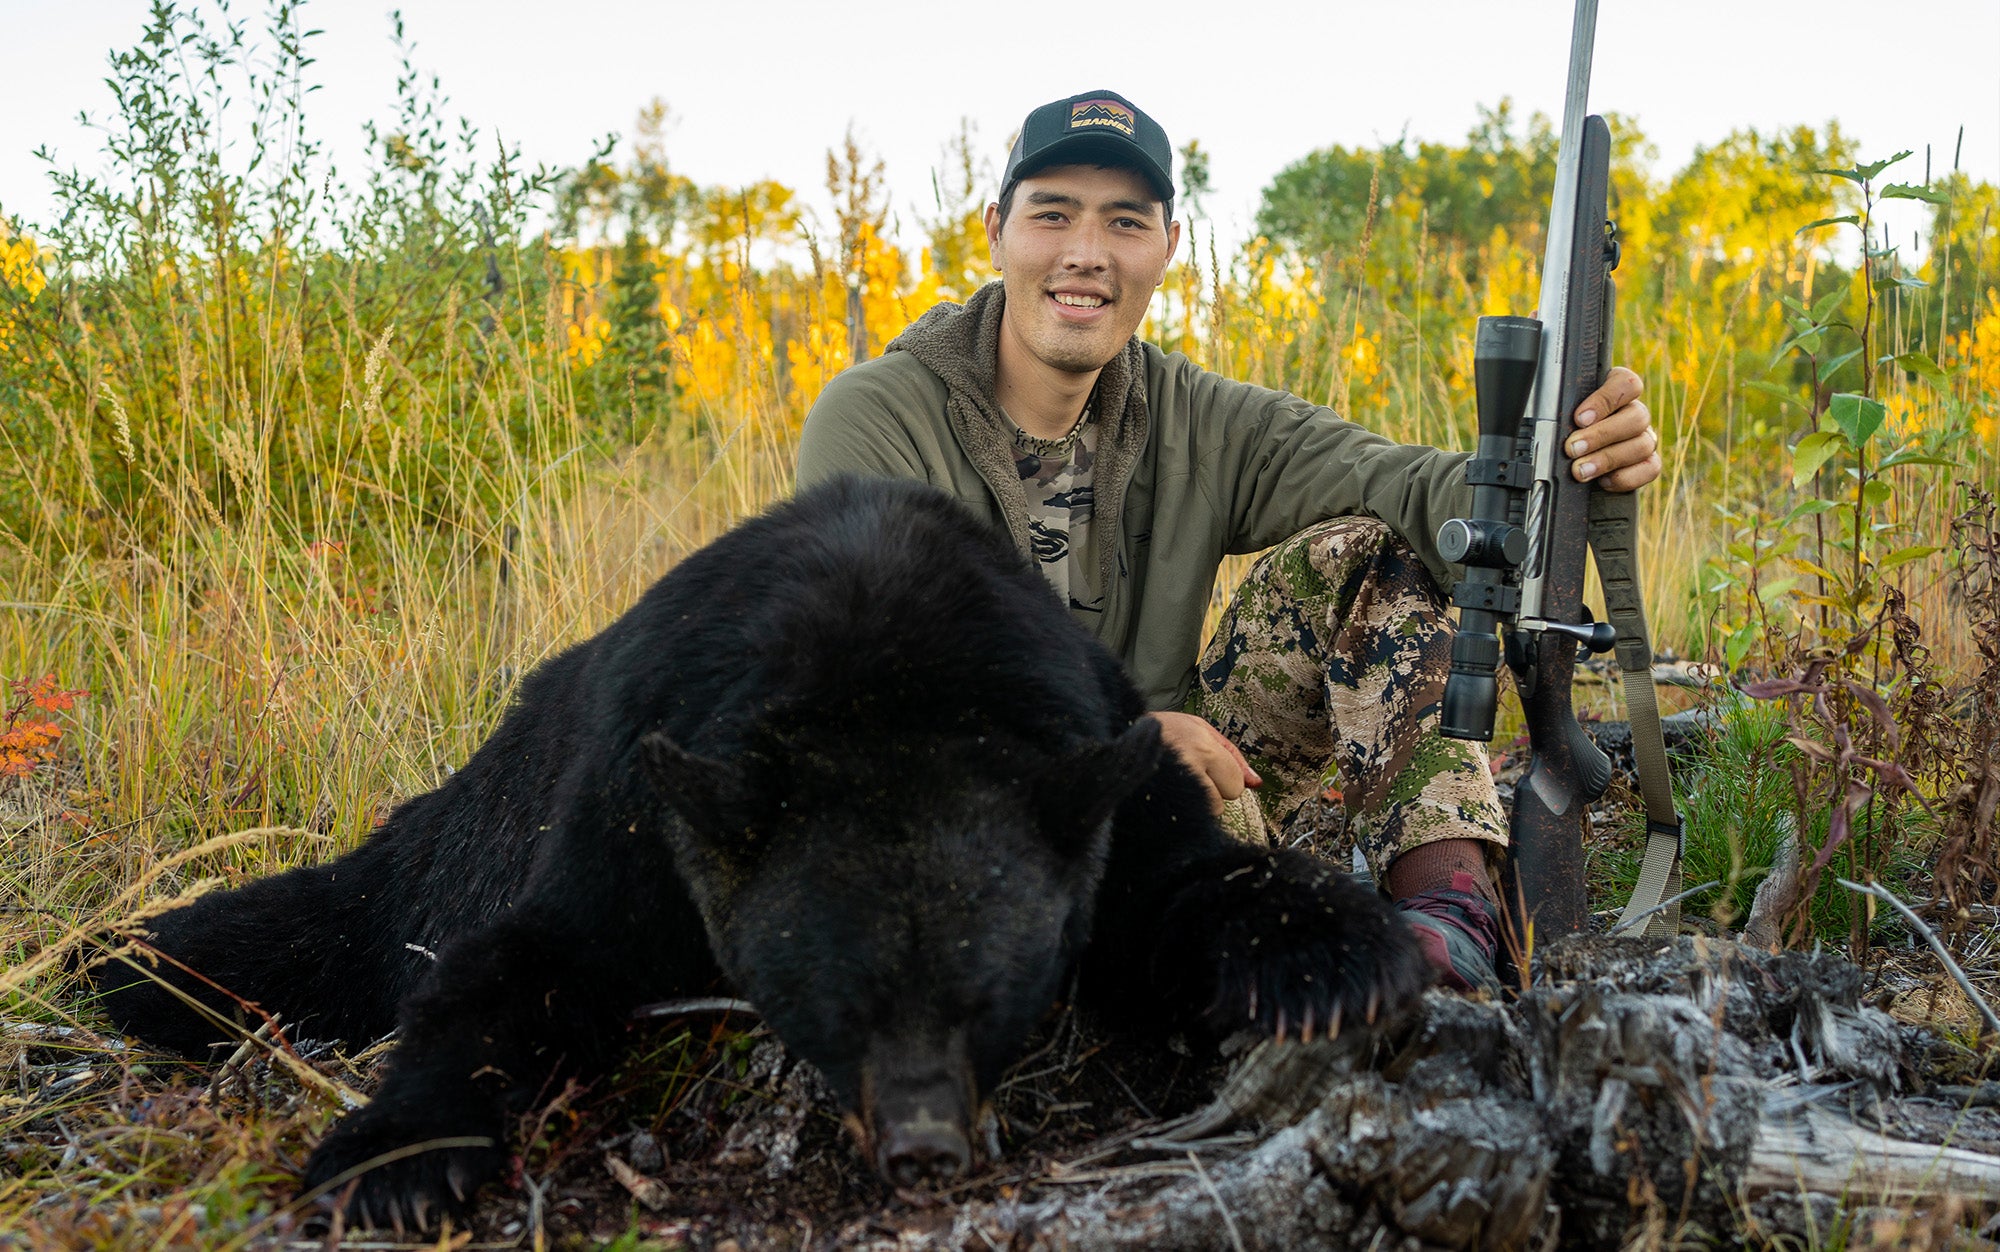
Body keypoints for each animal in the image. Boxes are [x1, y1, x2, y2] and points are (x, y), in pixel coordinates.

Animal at [90, 475, 1427, 1233]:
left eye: (994, 994)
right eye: (837, 998)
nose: (924, 1145)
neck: (886, 677)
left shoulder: (1088, 746)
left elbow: (1174, 882)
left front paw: (1323, 952)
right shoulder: (641, 794)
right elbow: (519, 963)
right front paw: (396, 1159)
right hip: (451, 831)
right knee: (306, 927)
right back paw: (126, 962)